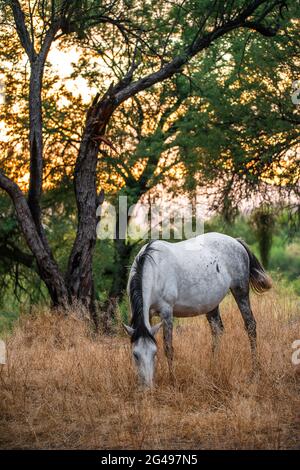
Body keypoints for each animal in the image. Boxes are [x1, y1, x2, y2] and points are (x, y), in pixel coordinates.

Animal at [123, 232, 274, 390]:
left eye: (154, 353)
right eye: (135, 355)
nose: (147, 388)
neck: (154, 269)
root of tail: (236, 242)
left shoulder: (167, 312)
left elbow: (168, 347)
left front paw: (173, 381)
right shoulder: (149, 314)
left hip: (240, 291)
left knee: (250, 326)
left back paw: (255, 373)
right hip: (212, 303)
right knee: (217, 330)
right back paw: (213, 369)